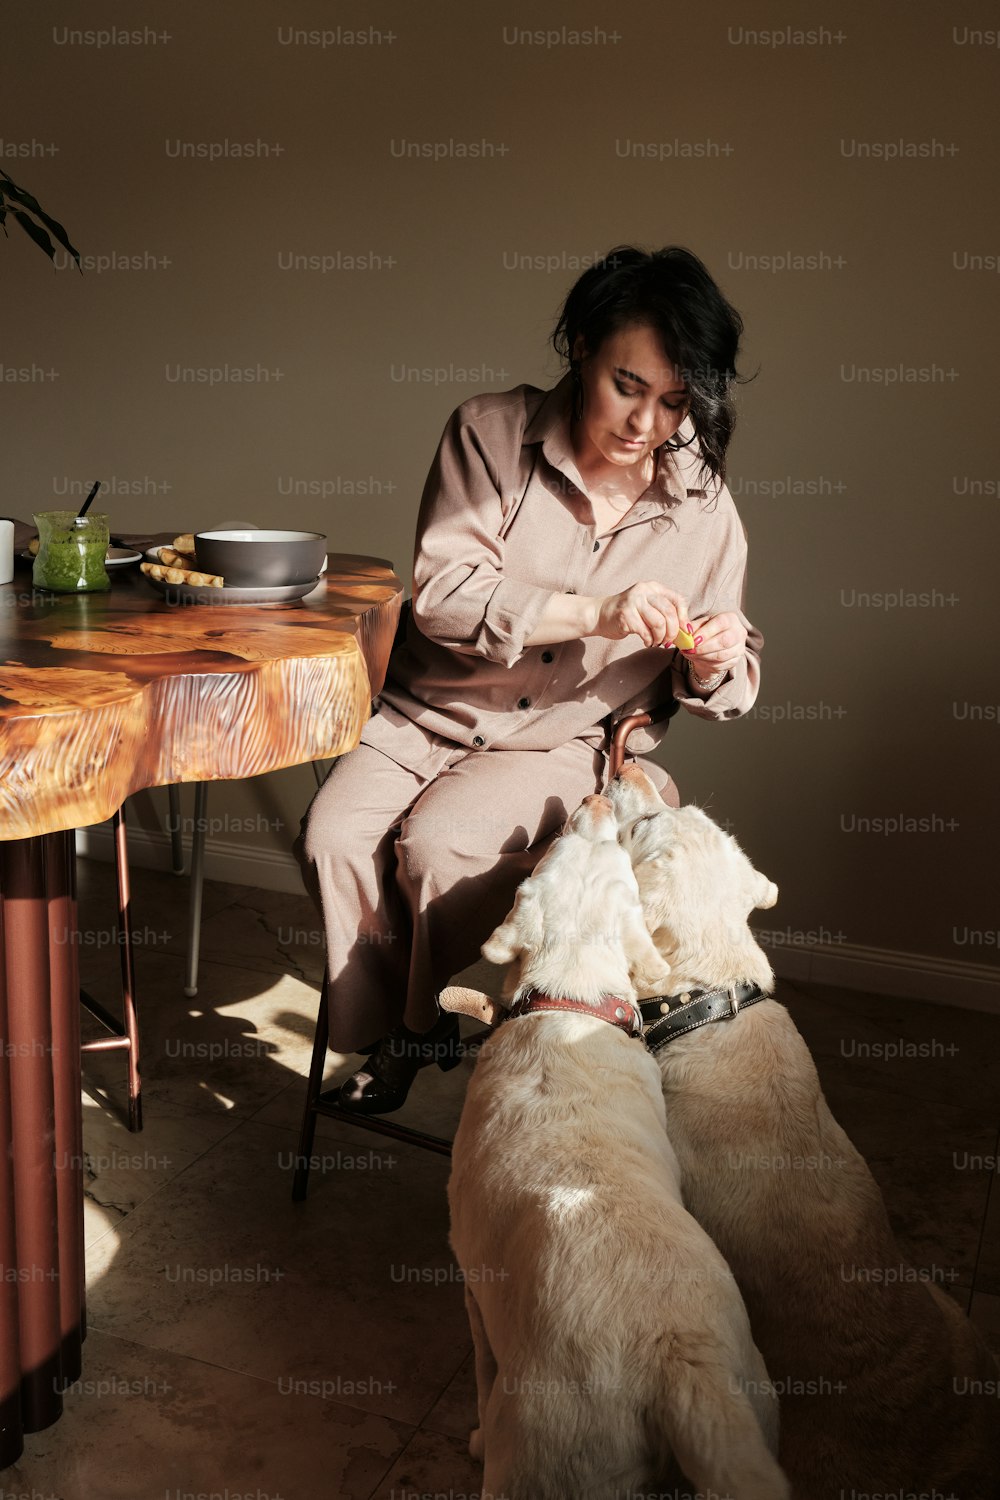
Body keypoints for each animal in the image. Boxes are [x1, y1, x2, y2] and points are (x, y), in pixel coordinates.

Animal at [446, 804, 791, 1500]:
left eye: (555, 844)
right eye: (601, 846)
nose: (597, 803)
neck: (571, 998)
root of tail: (679, 1359)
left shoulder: (473, 1287)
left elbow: (478, 1375)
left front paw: (471, 1439)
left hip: (544, 1456)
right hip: (756, 1403)